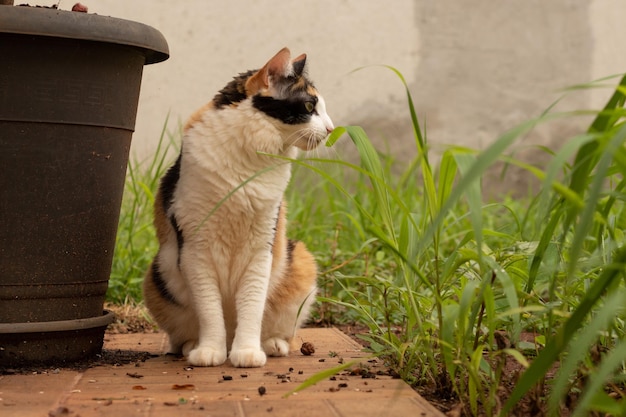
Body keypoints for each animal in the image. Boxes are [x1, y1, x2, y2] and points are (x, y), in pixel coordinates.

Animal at [144, 48, 334, 368]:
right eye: (310, 105)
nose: (332, 129)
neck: (250, 162)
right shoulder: (196, 249)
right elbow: (209, 310)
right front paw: (210, 350)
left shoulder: (262, 247)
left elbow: (252, 305)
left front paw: (247, 351)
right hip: (158, 274)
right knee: (182, 335)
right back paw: (193, 346)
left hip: (299, 260)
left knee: (280, 329)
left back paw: (271, 344)